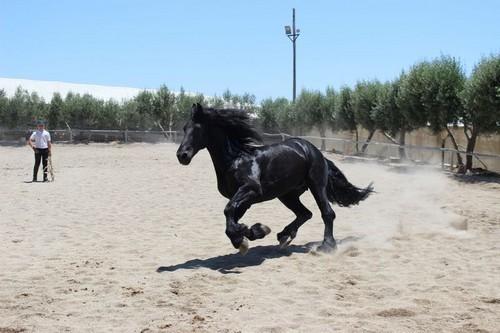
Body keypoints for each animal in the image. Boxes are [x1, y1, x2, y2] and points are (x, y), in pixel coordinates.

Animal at [176, 104, 372, 254]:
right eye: (184, 128)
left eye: (197, 129)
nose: (182, 155)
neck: (235, 159)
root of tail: (316, 153)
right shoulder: (244, 200)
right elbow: (231, 219)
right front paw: (251, 233)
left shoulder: (251, 190)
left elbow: (228, 210)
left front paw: (246, 236)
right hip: (287, 194)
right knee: (305, 213)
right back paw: (284, 235)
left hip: (316, 185)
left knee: (327, 213)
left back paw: (327, 246)